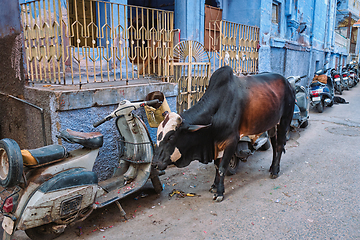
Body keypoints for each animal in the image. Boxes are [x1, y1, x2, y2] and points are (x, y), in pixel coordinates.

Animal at [153, 65, 296, 201]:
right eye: (158, 136)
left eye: (171, 137)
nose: (154, 164)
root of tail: (288, 83)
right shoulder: (216, 143)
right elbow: (217, 166)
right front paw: (214, 186)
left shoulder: (231, 141)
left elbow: (222, 167)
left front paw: (220, 193)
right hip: (272, 124)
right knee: (274, 145)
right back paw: (272, 167)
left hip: (284, 120)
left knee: (279, 146)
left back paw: (275, 171)